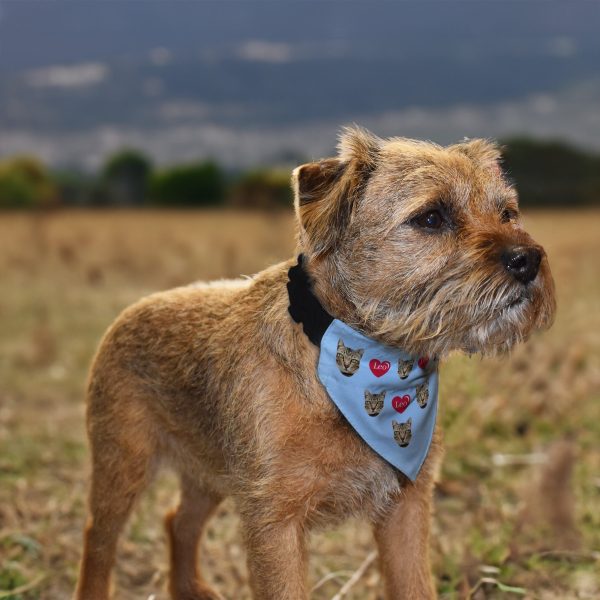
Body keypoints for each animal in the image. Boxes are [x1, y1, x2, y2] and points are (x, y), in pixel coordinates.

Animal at [72, 127, 556, 600]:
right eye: (431, 217)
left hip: (207, 473)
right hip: (123, 466)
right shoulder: (275, 523)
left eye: (508, 213)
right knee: (98, 537)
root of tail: (131, 311)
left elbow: (414, 585)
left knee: (178, 520)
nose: (527, 259)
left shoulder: (406, 508)